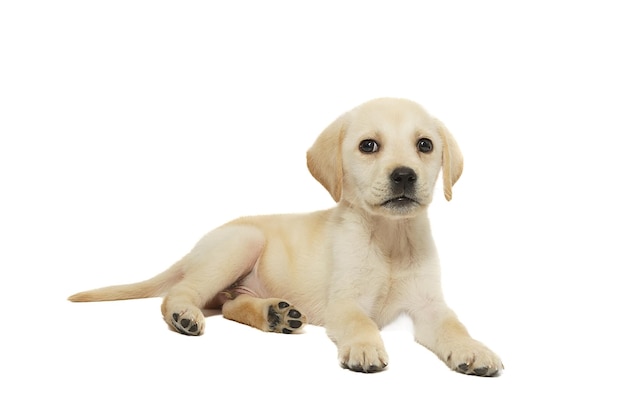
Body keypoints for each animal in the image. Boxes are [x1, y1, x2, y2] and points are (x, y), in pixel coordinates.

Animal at [69, 96, 502, 374]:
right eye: (368, 146)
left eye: (424, 145)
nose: (404, 176)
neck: (389, 238)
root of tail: (194, 250)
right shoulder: (344, 302)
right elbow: (360, 323)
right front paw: (364, 347)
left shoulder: (429, 305)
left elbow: (453, 325)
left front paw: (473, 350)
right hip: (240, 243)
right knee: (179, 294)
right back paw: (185, 316)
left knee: (230, 305)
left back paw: (275, 314)